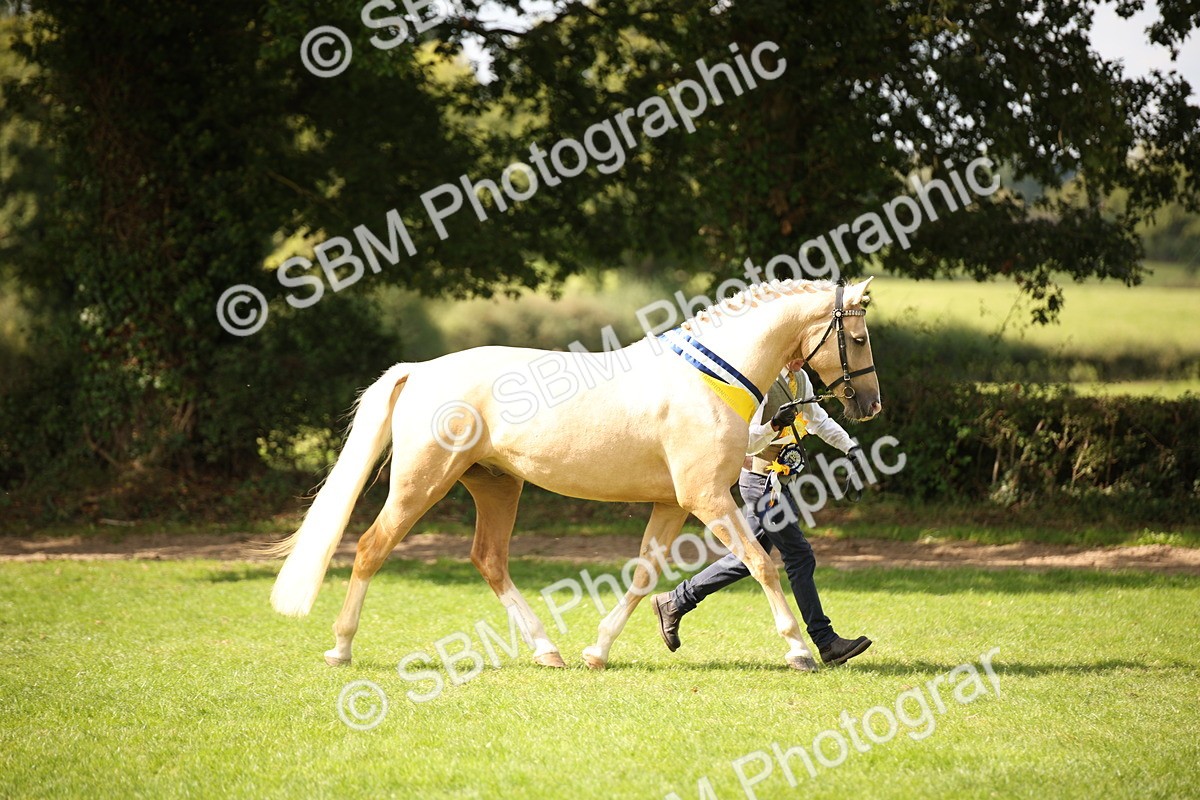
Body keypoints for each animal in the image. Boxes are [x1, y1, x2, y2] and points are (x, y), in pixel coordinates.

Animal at [269, 277, 881, 672]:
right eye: (856, 338)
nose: (870, 405)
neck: (711, 378)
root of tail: (419, 371)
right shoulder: (706, 498)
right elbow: (761, 564)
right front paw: (798, 651)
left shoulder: (672, 504)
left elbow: (643, 575)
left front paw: (597, 651)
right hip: (422, 482)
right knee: (372, 548)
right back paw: (340, 648)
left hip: (497, 485)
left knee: (489, 560)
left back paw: (550, 651)